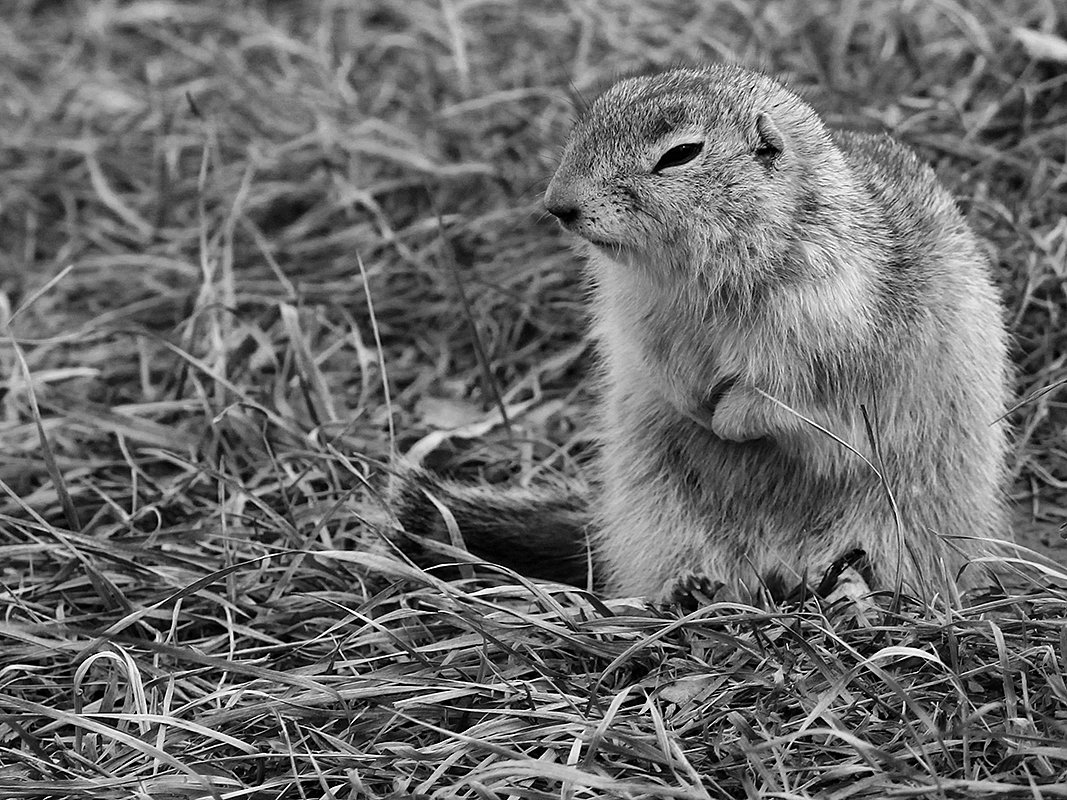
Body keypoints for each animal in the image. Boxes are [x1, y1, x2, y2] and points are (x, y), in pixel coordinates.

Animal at [390, 64, 1007, 601]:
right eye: (593, 117)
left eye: (681, 154)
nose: (557, 205)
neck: (697, 278)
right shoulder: (633, 316)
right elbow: (650, 360)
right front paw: (691, 405)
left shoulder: (827, 323)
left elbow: (790, 392)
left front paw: (728, 419)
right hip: (656, 510)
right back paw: (691, 590)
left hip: (908, 516)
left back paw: (849, 589)